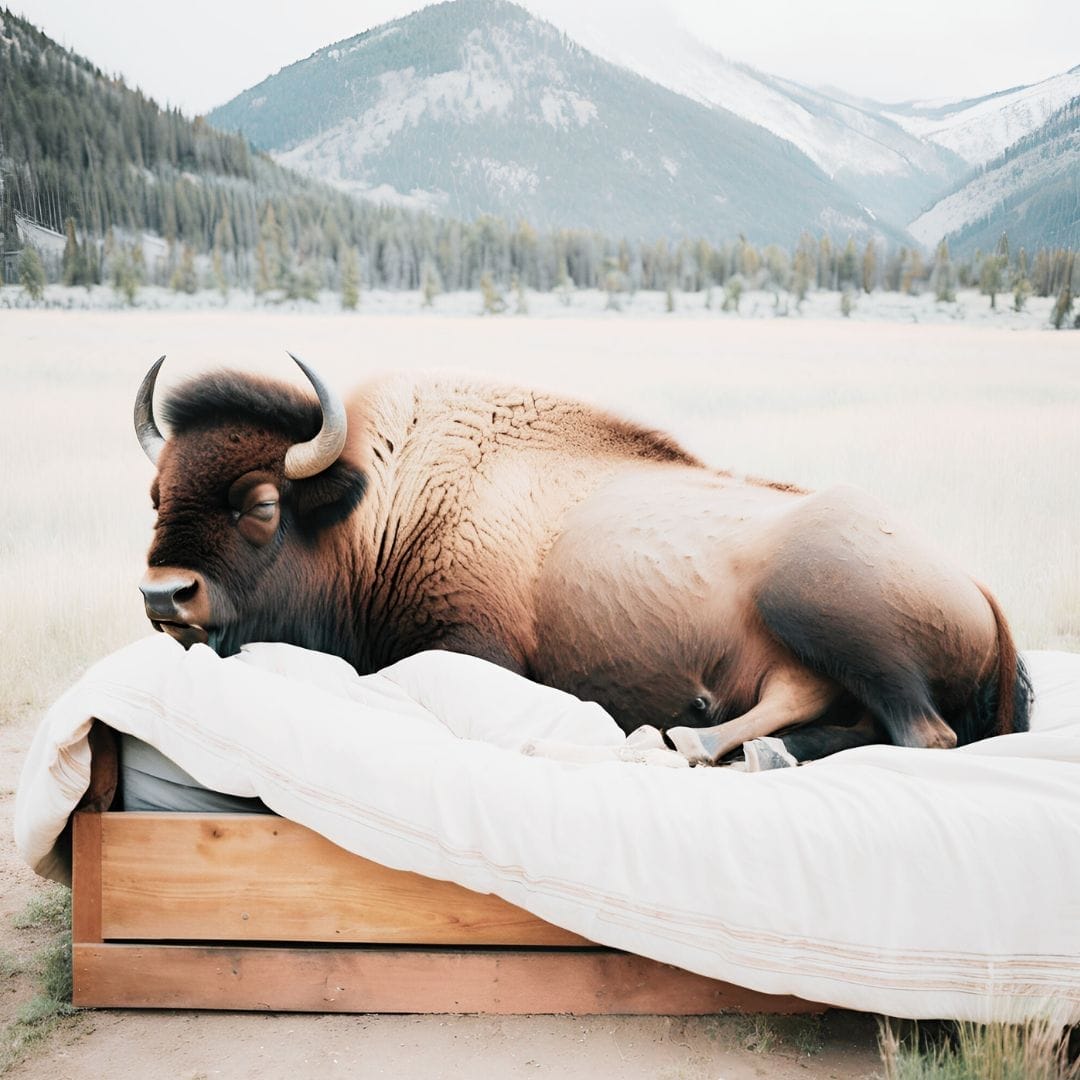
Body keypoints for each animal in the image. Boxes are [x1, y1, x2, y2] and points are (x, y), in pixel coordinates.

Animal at [135, 356, 1031, 764]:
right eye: (155, 494)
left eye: (261, 505)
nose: (165, 594)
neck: (378, 510)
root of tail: (981, 589)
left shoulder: (473, 648)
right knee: (820, 705)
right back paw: (720, 746)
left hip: (817, 605)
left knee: (920, 733)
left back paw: (687, 742)